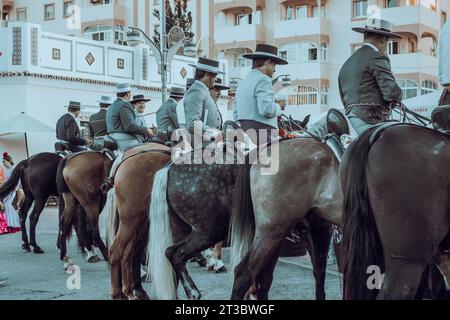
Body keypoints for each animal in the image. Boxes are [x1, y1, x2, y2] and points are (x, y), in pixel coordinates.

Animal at [105, 142, 172, 300]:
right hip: (130, 221)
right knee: (117, 252)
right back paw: (118, 293)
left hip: (139, 222)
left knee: (128, 253)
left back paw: (130, 291)